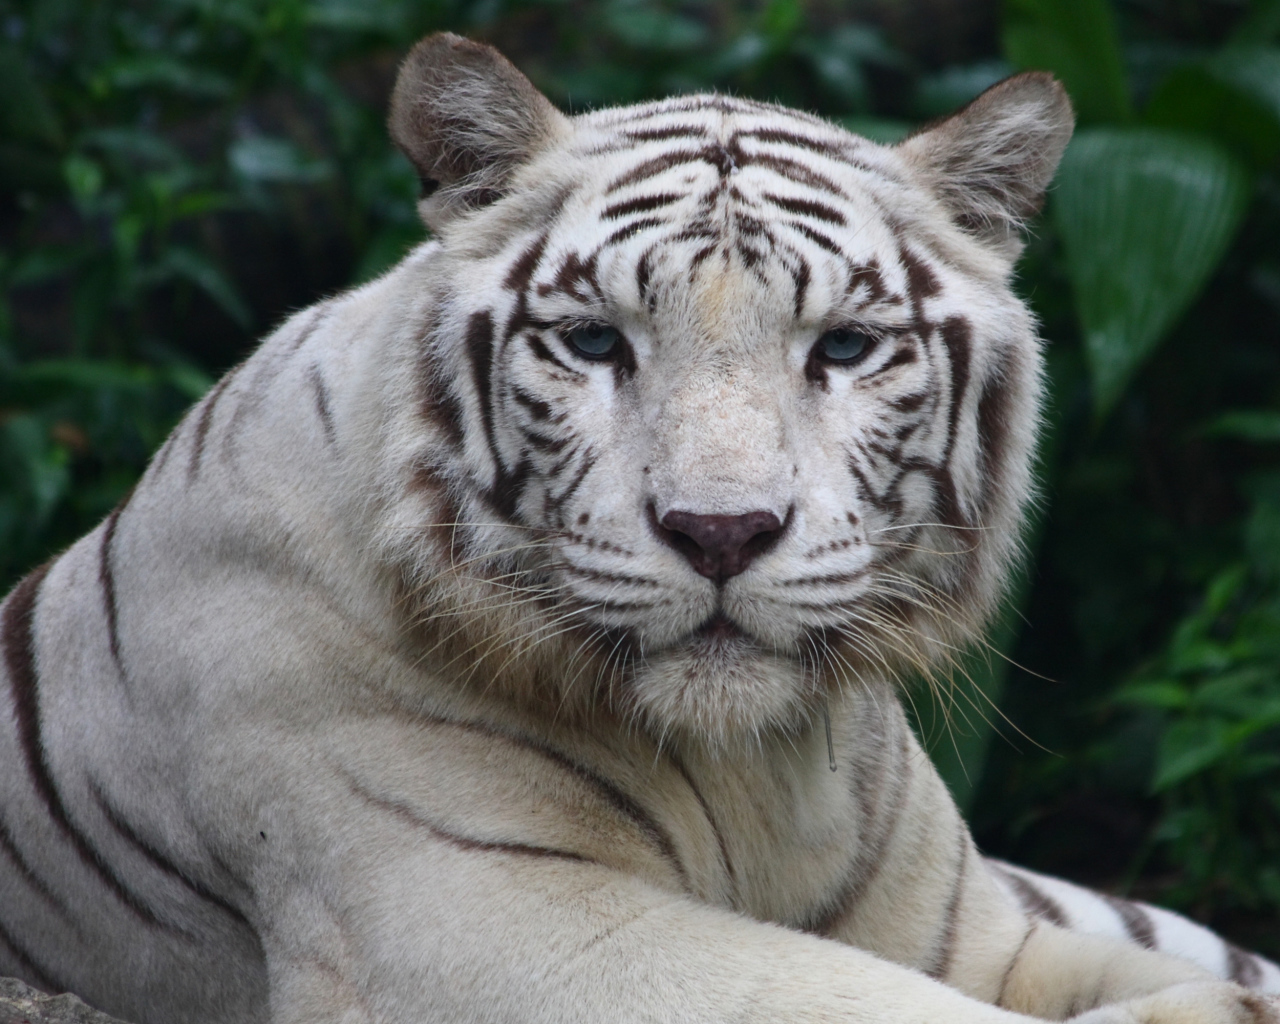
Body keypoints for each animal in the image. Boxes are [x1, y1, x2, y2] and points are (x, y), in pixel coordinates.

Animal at [1, 30, 1277, 1024]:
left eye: (843, 347)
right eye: (593, 341)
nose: (720, 532)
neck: (755, 768)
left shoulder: (975, 932)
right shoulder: (483, 921)